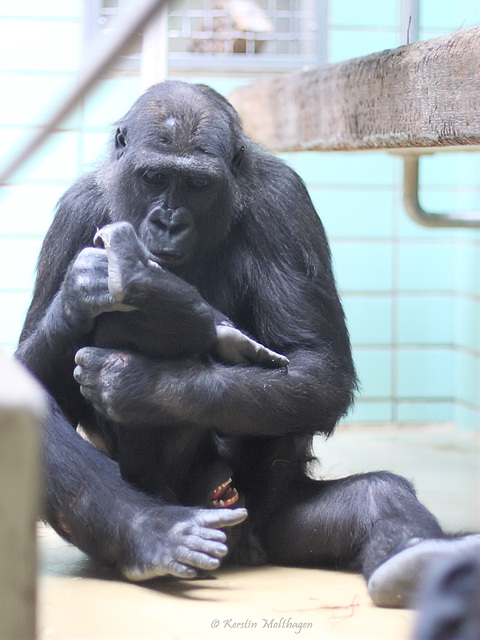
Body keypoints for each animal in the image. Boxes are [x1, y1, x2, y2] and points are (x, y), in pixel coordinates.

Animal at [15, 81, 480, 604]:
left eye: (197, 185)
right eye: (154, 177)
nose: (169, 221)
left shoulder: (285, 201)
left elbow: (318, 365)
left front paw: (145, 384)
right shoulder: (73, 214)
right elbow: (32, 379)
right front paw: (84, 286)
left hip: (277, 520)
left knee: (376, 497)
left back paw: (418, 560)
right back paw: (152, 533)